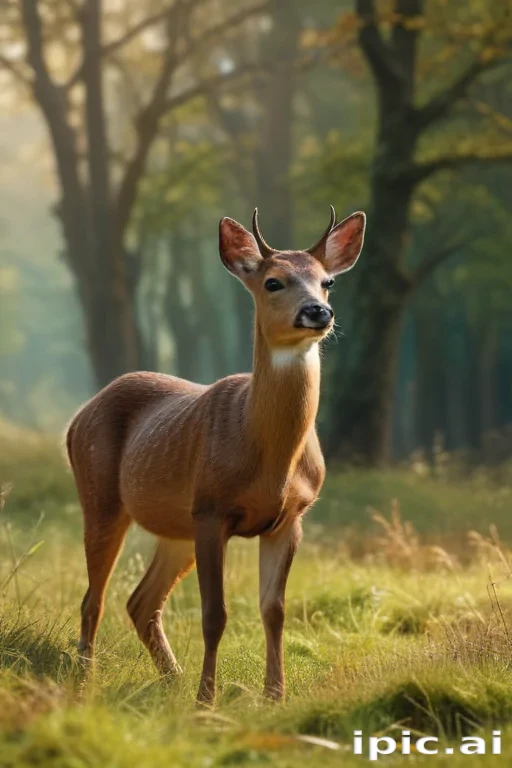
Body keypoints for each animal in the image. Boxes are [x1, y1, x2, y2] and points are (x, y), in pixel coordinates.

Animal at [66, 206, 366, 704]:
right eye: (273, 282)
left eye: (327, 282)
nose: (318, 312)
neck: (269, 460)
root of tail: (78, 416)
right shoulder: (211, 508)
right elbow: (215, 613)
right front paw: (207, 699)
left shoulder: (291, 517)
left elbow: (274, 610)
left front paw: (274, 696)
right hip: (101, 493)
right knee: (95, 598)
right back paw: (87, 681)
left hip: (175, 527)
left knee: (141, 601)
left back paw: (172, 679)